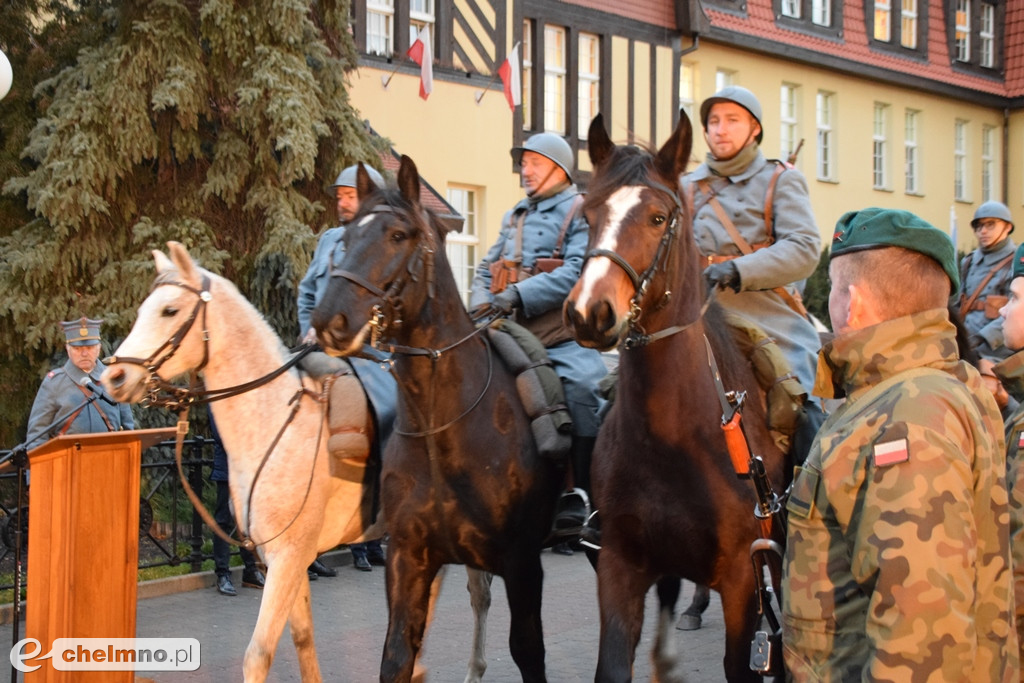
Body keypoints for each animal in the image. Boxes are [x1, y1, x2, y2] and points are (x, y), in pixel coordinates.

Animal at [101, 241, 493, 683]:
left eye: (169, 310)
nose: (113, 377)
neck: (274, 420)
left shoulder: (288, 557)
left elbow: (259, 652)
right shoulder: (286, 558)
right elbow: (303, 639)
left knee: (478, 594)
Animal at [313, 157, 565, 679]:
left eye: (399, 235)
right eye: (345, 237)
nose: (330, 321)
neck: (441, 427)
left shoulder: (523, 562)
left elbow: (528, 650)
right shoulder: (409, 559)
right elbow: (397, 652)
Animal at [565, 113, 786, 683]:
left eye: (658, 217)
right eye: (589, 213)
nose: (589, 311)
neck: (674, 436)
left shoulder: (743, 581)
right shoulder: (620, 567)